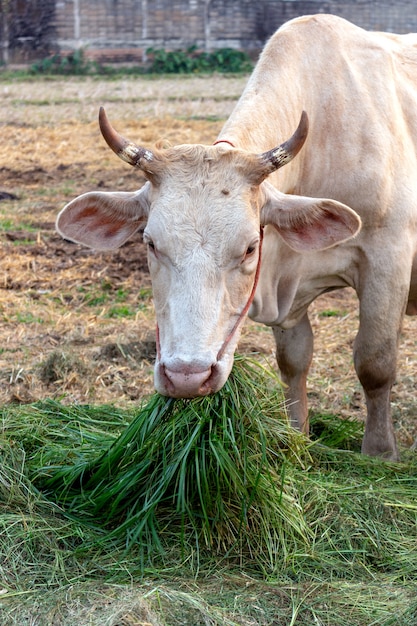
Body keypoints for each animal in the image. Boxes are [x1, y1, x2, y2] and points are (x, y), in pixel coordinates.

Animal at [56, 14, 417, 458]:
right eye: (151, 243)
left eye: (249, 248)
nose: (187, 376)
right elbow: (294, 361)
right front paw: (296, 436)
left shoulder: (388, 255)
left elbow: (375, 362)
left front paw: (380, 454)